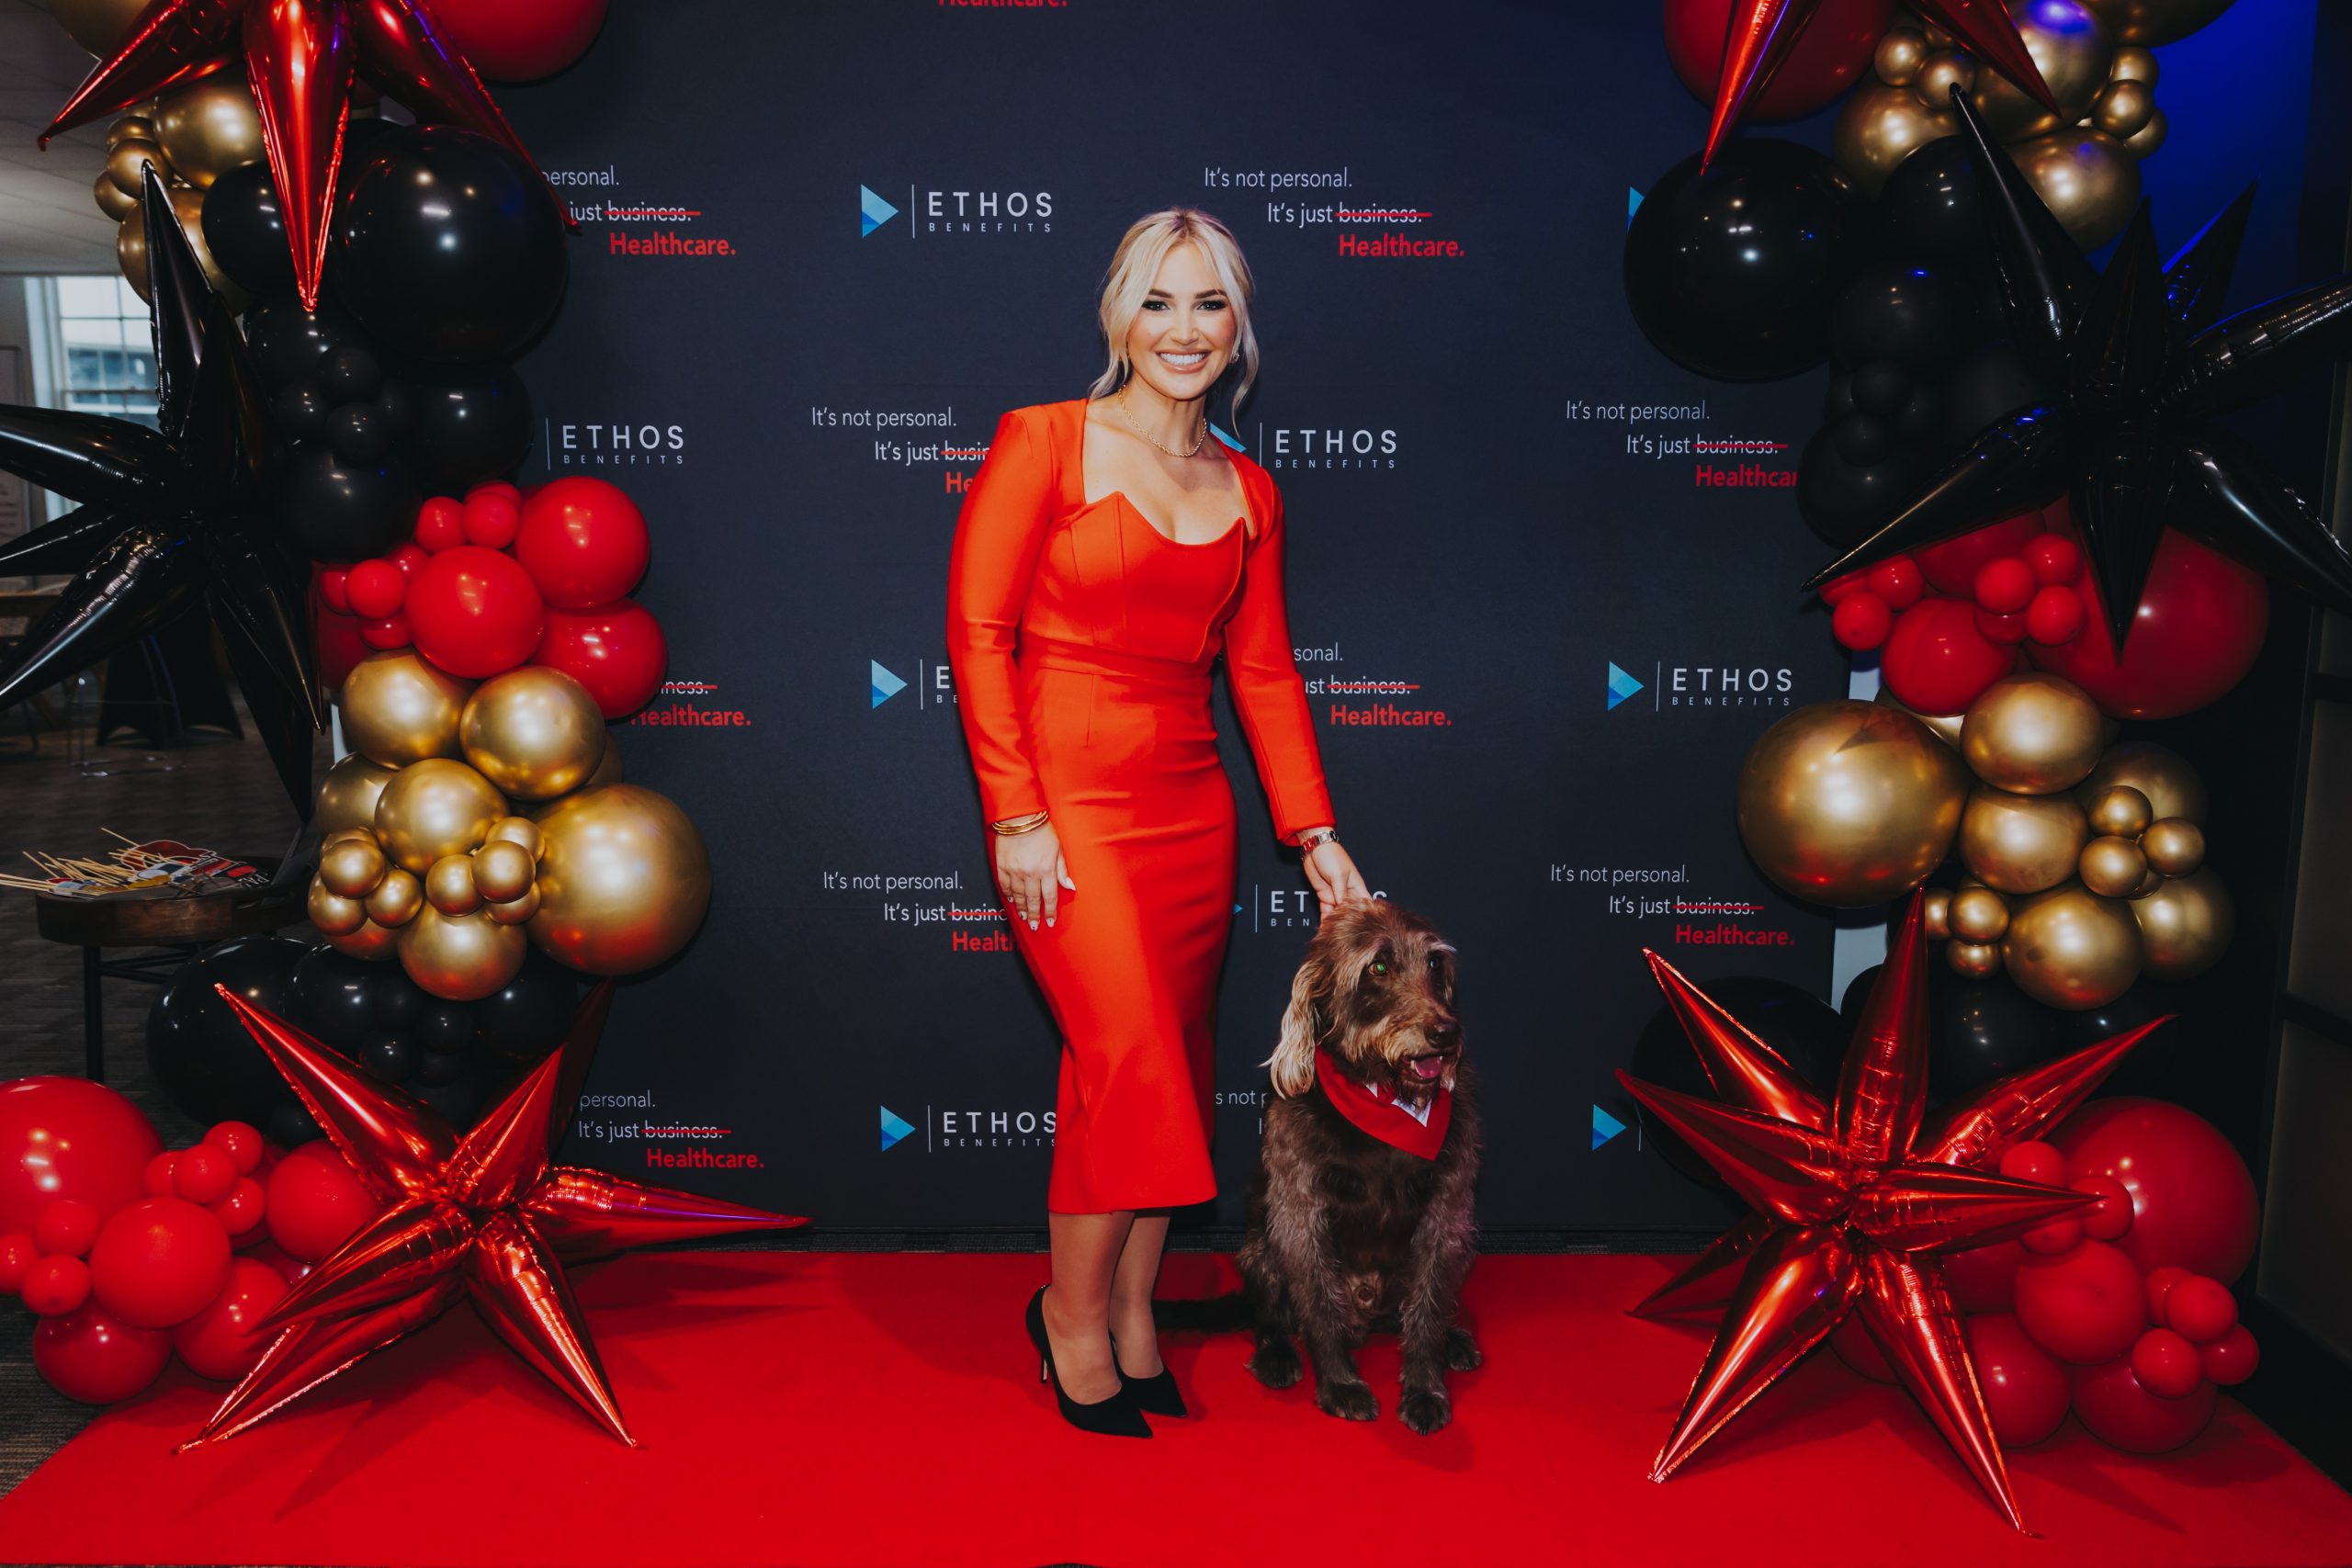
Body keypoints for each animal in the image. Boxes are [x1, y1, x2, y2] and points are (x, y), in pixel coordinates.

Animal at [1235, 898, 1480, 1435]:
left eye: (1435, 964)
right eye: (1378, 967)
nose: (1446, 1032)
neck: (1383, 1096)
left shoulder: (1444, 1214)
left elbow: (1427, 1311)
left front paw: (1425, 1387)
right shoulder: (1300, 1213)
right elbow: (1319, 1307)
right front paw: (1340, 1384)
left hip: (1461, 1246)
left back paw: (1454, 1338)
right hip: (1260, 1247)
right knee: (1271, 1317)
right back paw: (1277, 1355)